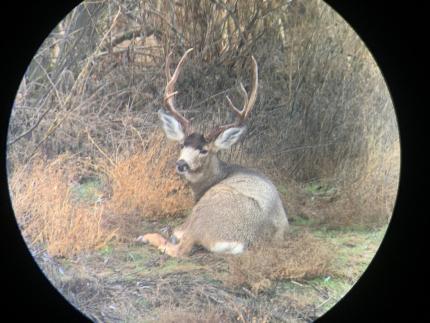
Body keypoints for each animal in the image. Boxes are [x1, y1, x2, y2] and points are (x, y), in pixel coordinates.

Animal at [138, 48, 288, 256]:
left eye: (204, 150)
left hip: (205, 211)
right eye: (182, 144)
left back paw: (146, 236)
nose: (181, 164)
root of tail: (244, 240)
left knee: (180, 248)